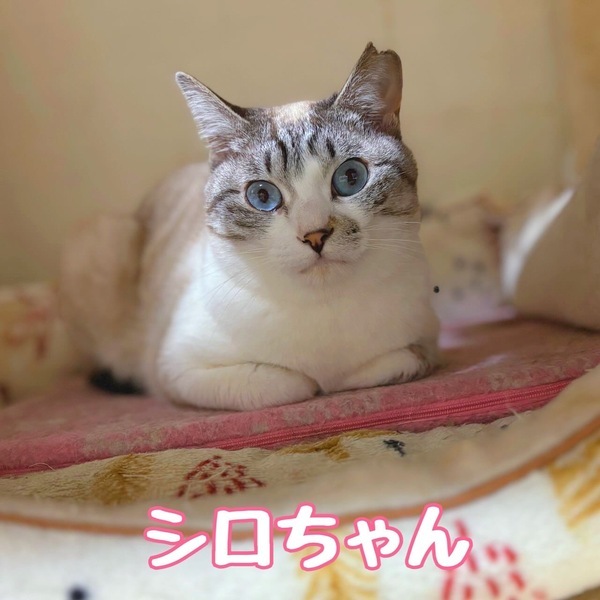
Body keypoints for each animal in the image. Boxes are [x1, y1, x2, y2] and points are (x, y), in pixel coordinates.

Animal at [59, 43, 440, 410]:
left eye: (350, 178)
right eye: (262, 196)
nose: (315, 235)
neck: (323, 307)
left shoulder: (424, 342)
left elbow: (396, 362)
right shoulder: (177, 370)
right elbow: (291, 384)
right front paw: (313, 382)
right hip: (103, 240)